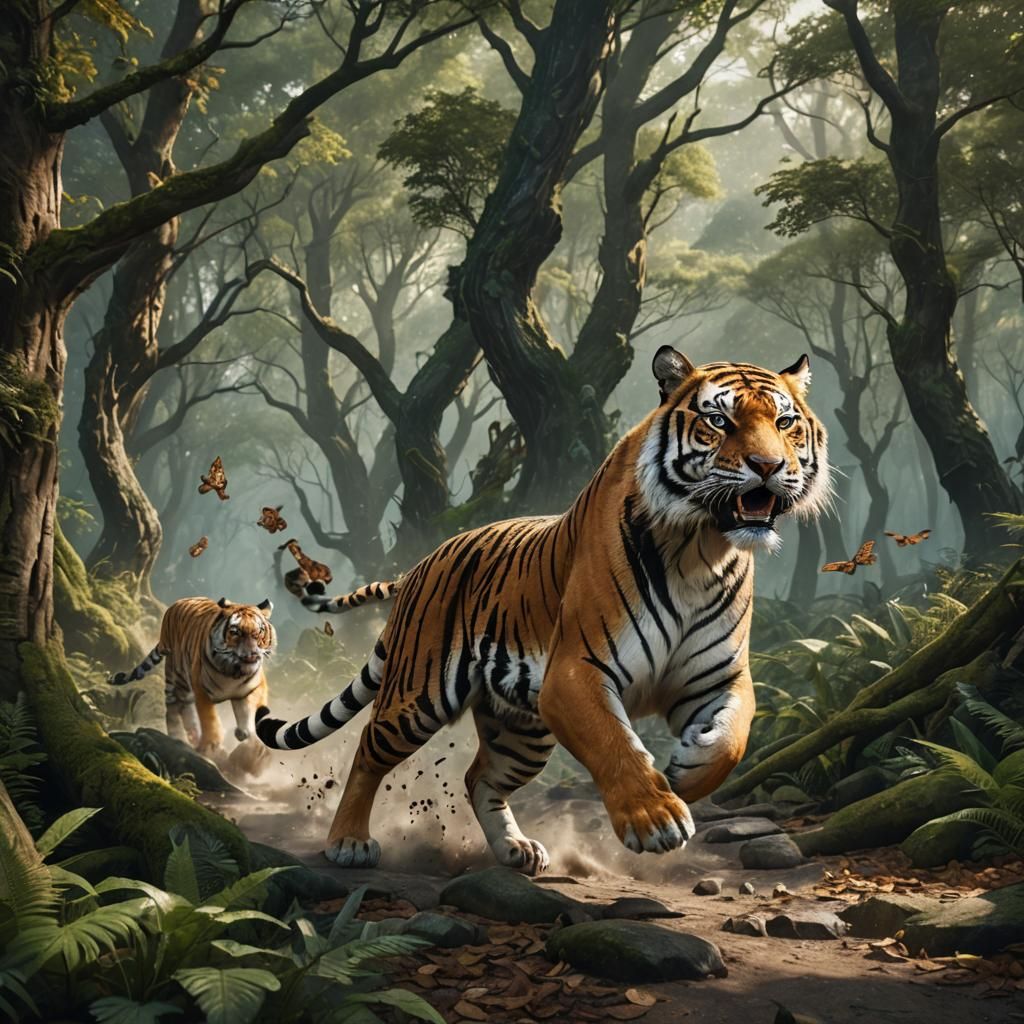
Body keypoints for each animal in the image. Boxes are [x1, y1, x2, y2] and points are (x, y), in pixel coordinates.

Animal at [110, 597, 276, 758]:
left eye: (259, 631)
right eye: (235, 632)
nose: (252, 654)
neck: (232, 671)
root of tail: (178, 602)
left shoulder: (256, 686)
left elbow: (250, 709)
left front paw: (244, 732)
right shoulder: (201, 689)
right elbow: (209, 718)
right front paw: (212, 743)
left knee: (185, 708)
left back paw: (193, 735)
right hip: (175, 674)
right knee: (173, 706)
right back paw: (179, 736)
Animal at [256, 348, 830, 873]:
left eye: (784, 423)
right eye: (719, 420)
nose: (769, 467)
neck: (701, 548)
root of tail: (421, 564)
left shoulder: (719, 678)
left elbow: (734, 737)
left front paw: (690, 768)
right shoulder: (574, 673)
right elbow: (615, 744)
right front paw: (656, 818)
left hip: (521, 728)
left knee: (479, 777)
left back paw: (516, 849)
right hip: (417, 696)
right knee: (368, 750)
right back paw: (348, 841)